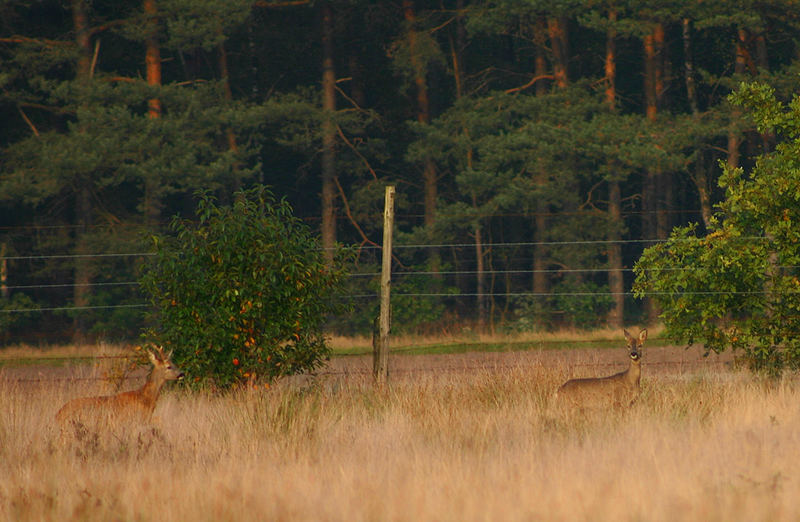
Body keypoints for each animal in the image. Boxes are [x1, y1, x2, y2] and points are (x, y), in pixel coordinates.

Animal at [56, 344, 184, 428]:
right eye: (168, 366)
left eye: (174, 363)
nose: (181, 374)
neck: (145, 398)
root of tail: (58, 414)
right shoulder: (137, 419)